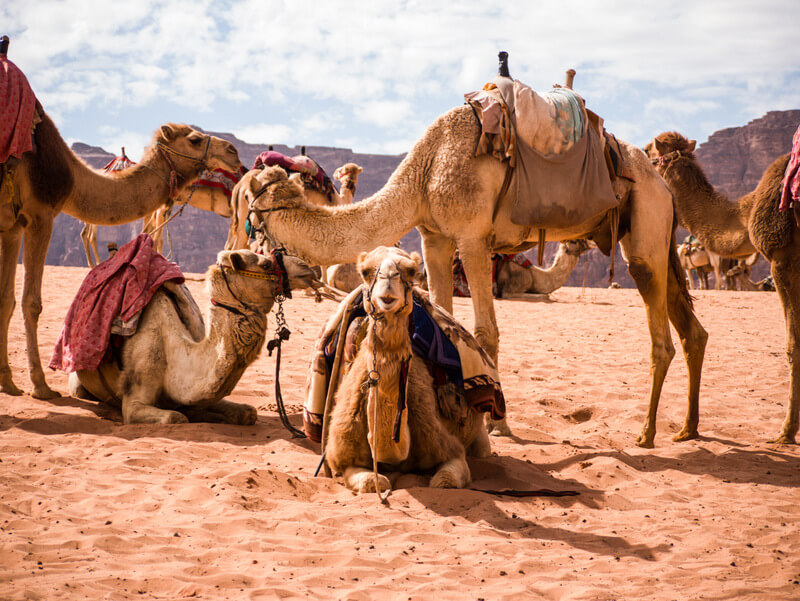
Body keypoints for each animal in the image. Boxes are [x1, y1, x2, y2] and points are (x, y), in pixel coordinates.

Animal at [0, 116, 244, 398]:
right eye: (194, 139)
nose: (234, 152)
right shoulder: (40, 214)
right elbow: (31, 302)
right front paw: (41, 386)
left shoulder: (11, 226)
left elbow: (5, 300)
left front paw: (7, 382)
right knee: (89, 234)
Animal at [244, 91, 708, 448]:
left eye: (254, 195)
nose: (251, 243)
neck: (426, 169)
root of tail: (661, 183)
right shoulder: (434, 237)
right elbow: (442, 315)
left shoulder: (472, 237)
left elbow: (485, 332)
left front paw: (497, 425)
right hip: (654, 233)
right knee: (693, 330)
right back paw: (687, 429)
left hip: (645, 224)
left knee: (661, 336)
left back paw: (647, 434)